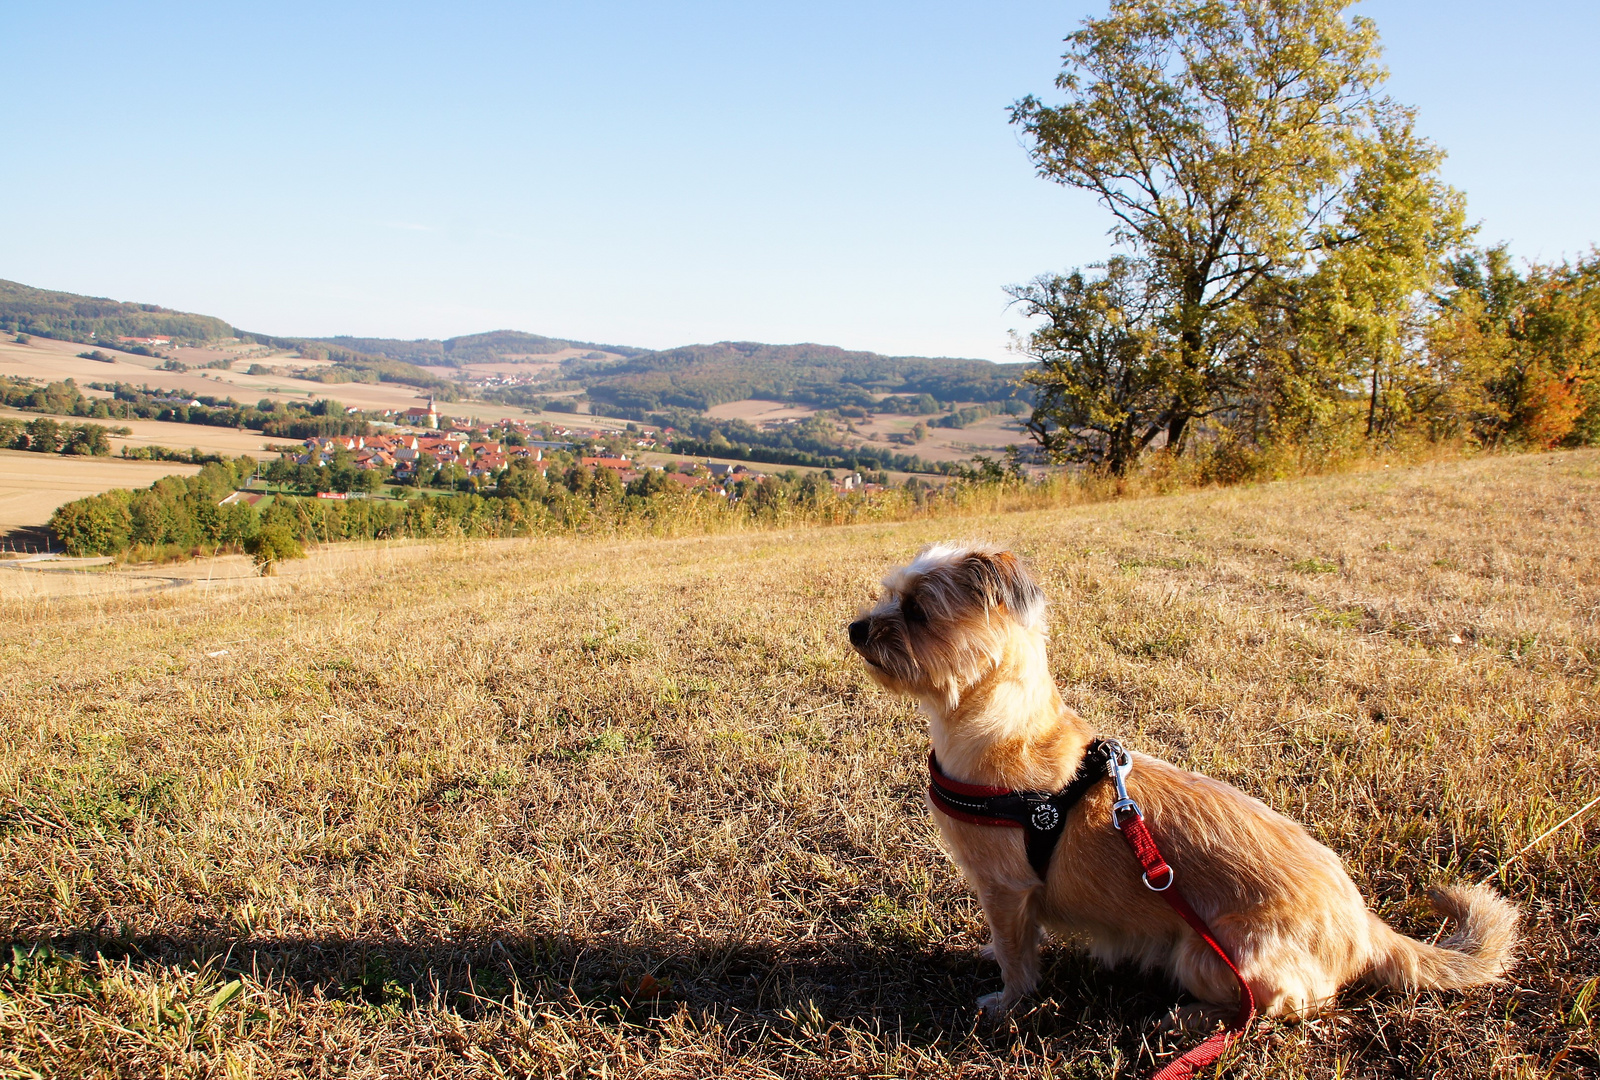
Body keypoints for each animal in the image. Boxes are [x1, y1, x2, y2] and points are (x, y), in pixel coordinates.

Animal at [844, 544, 1516, 1017]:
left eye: (917, 610)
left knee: (1290, 1003)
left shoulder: (1006, 887)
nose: (855, 628)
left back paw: (1189, 1017)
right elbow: (1011, 940)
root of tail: (1365, 927)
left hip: (1207, 955)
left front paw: (1007, 1002)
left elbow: (1017, 958)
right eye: (888, 596)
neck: (997, 726)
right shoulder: (1010, 898)